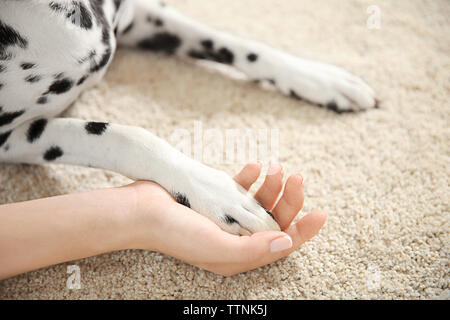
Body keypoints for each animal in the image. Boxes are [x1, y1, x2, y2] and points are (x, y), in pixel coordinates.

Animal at [0, 0, 376, 235]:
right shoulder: (8, 137)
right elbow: (128, 137)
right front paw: (223, 195)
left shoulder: (139, 14)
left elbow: (231, 41)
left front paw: (319, 77)